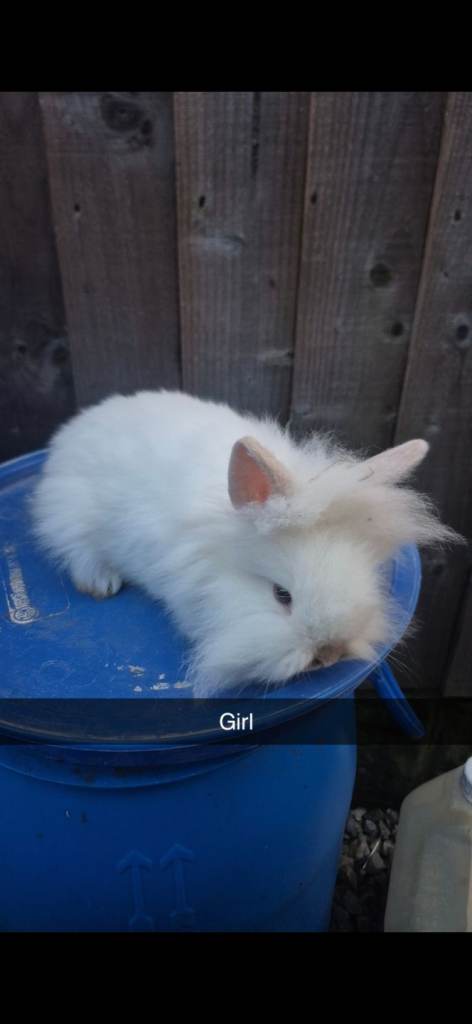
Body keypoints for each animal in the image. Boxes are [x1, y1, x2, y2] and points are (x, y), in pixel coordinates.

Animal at [31, 389, 458, 696]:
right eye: (281, 596)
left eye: (367, 578)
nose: (328, 655)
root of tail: (76, 428)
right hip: (70, 513)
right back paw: (101, 583)